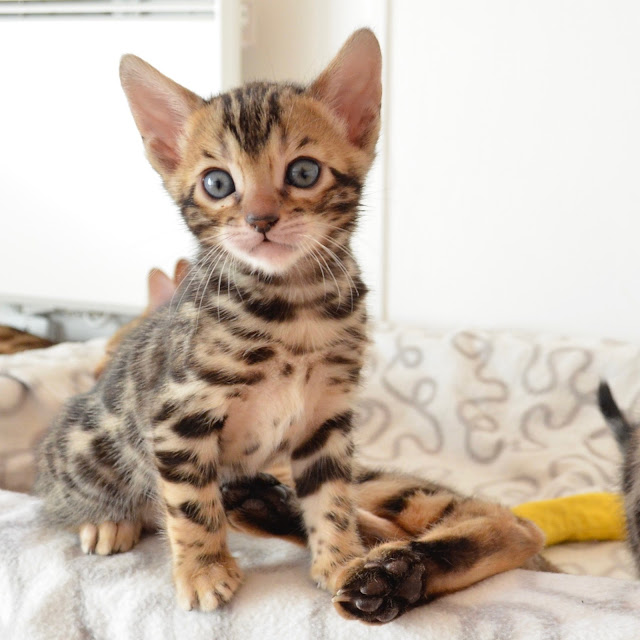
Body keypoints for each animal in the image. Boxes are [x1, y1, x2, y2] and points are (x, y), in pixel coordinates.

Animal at [35, 29, 545, 624]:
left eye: (303, 172)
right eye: (217, 183)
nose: (260, 219)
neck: (293, 305)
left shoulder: (326, 417)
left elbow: (330, 497)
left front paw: (341, 559)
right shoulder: (178, 414)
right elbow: (190, 504)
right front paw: (203, 571)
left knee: (510, 526)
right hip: (90, 447)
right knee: (74, 494)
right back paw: (116, 518)